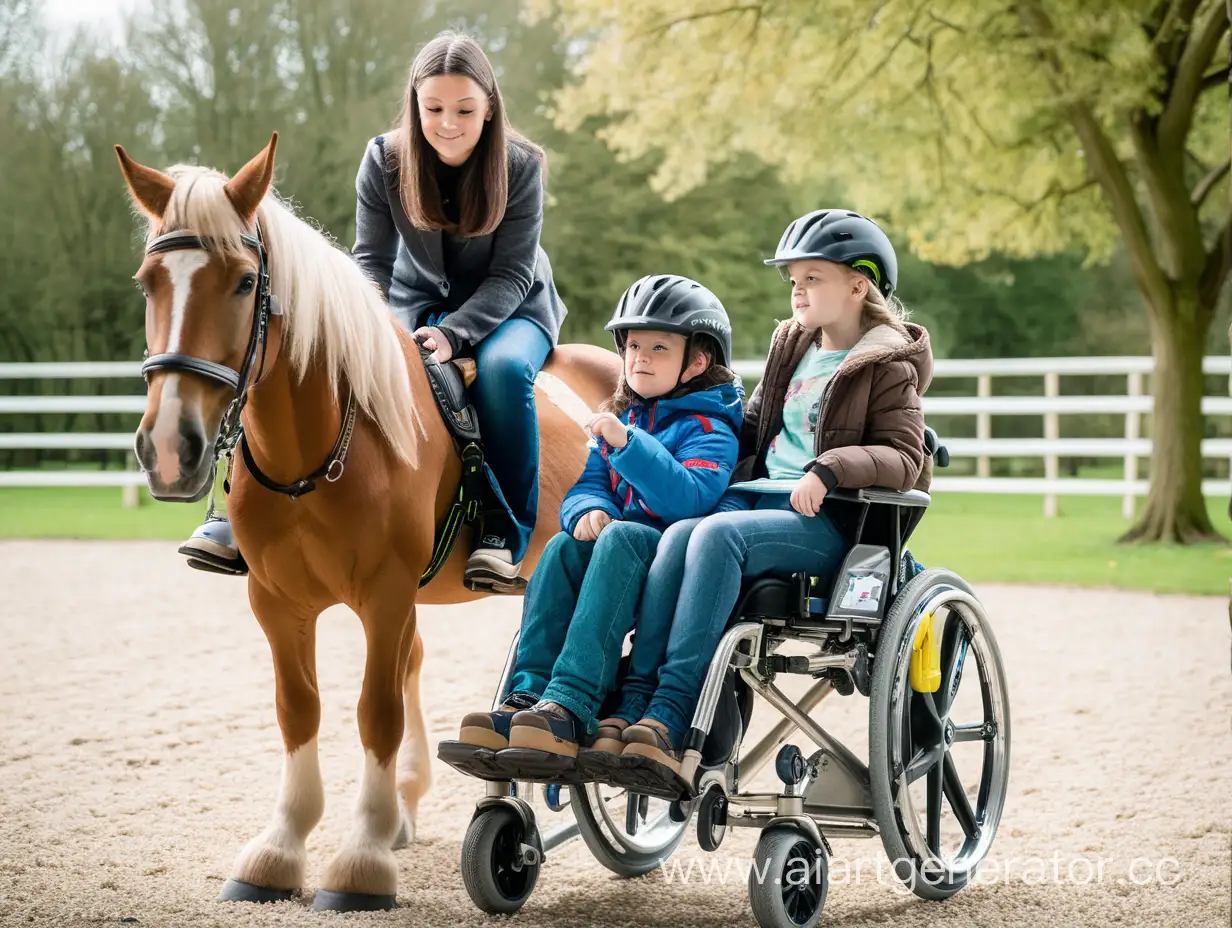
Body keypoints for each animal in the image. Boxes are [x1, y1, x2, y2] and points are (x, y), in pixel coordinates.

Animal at [115, 133, 620, 907]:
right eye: (150, 283)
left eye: (243, 283)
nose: (170, 448)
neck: (318, 447)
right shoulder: (276, 600)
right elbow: (299, 709)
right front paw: (280, 848)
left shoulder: (383, 597)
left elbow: (375, 712)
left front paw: (361, 862)